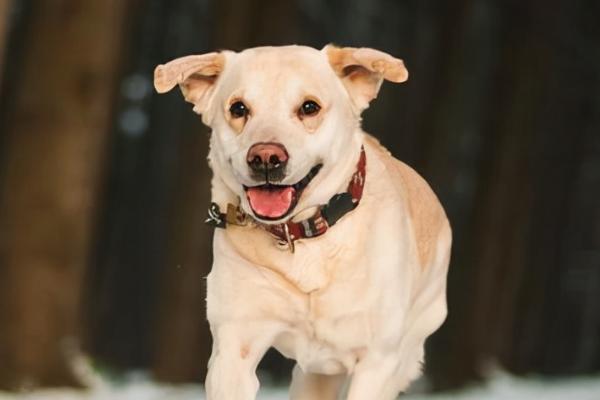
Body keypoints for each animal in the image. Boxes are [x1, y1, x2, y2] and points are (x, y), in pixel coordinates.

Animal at [154, 44, 450, 400]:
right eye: (238, 108)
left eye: (309, 107)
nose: (266, 157)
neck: (304, 235)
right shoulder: (234, 352)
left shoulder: (377, 363)